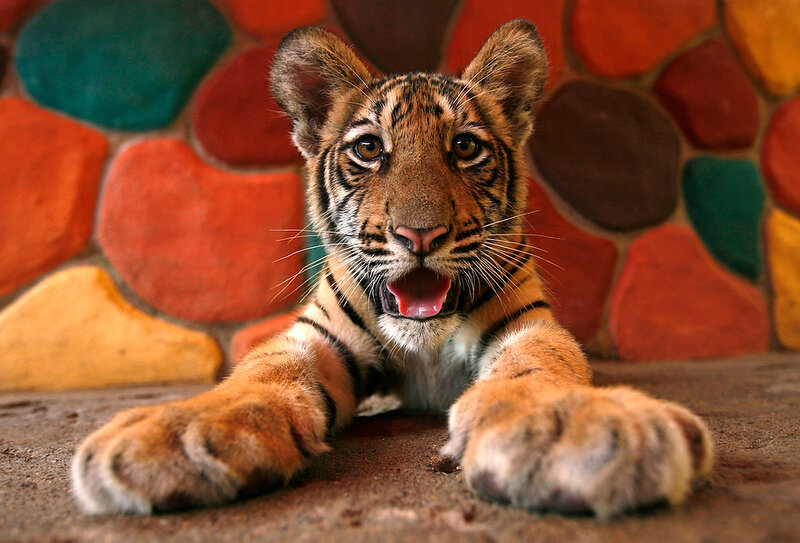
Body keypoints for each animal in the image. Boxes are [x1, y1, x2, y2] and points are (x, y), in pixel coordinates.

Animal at [72, 20, 713, 518]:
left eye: (465, 148)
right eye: (368, 149)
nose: (419, 236)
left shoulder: (527, 324)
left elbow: (541, 367)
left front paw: (565, 427)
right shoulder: (318, 337)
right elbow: (261, 373)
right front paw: (177, 433)